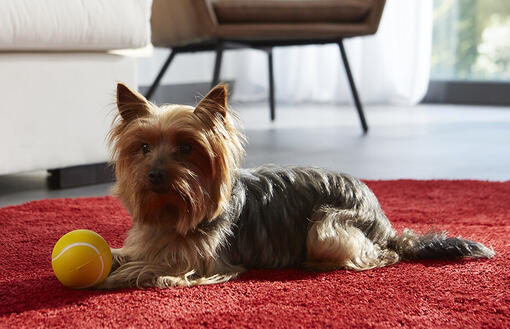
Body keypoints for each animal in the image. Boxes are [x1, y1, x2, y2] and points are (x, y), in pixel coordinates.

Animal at [96, 83, 494, 288]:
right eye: (143, 148)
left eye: (185, 148)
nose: (154, 175)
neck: (176, 211)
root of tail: (384, 221)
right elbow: (128, 254)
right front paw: (115, 261)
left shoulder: (204, 263)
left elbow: (153, 269)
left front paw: (116, 276)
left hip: (326, 227)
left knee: (380, 255)